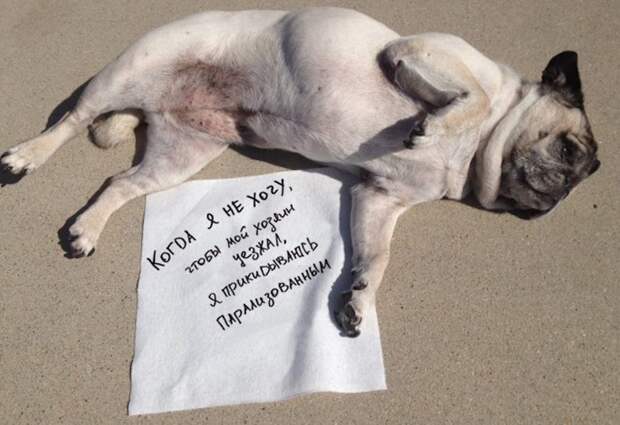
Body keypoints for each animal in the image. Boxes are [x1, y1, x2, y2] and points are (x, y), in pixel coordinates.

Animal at [0, 7, 600, 336]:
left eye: (587, 169)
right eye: (573, 151)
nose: (565, 194)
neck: (474, 153)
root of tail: (148, 103)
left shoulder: (378, 198)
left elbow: (375, 258)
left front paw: (359, 298)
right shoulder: (419, 53)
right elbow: (473, 96)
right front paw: (435, 124)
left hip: (182, 153)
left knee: (120, 184)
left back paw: (87, 228)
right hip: (126, 73)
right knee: (72, 121)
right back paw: (26, 156)